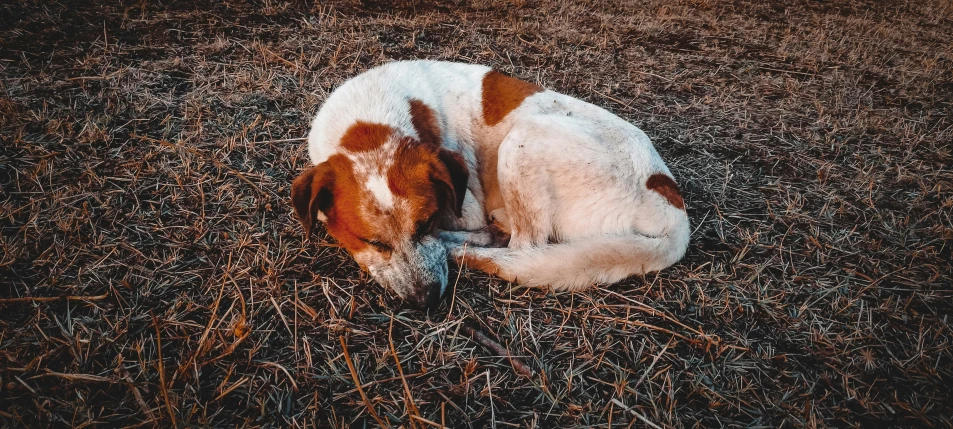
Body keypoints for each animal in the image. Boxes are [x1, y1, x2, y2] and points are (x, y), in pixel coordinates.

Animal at [290, 59, 692, 308]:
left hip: (523, 140)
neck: (370, 122)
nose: (427, 300)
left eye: (426, 223)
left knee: (522, 248)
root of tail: (675, 212)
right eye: (373, 242)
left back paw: (465, 248)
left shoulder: (466, 207)